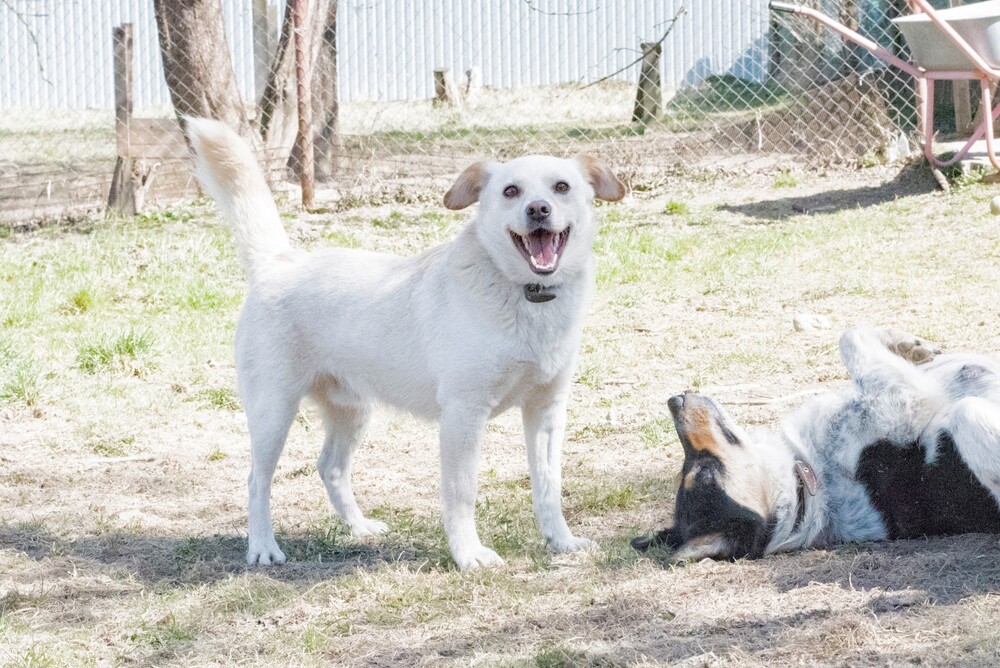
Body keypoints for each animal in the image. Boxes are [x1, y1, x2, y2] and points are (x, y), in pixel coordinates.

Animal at [186, 118, 624, 568]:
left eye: (561, 187)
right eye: (511, 191)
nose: (538, 209)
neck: (525, 293)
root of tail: (278, 263)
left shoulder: (546, 410)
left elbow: (549, 486)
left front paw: (561, 541)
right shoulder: (464, 415)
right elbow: (461, 493)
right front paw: (468, 554)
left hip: (352, 412)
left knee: (331, 468)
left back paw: (359, 527)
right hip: (273, 411)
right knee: (257, 479)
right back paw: (262, 547)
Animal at [636, 326, 1000, 560]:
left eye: (690, 470)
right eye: (705, 473)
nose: (673, 401)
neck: (810, 479)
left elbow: (852, 333)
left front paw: (910, 345)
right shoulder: (910, 398)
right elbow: (852, 339)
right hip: (966, 418)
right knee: (967, 415)